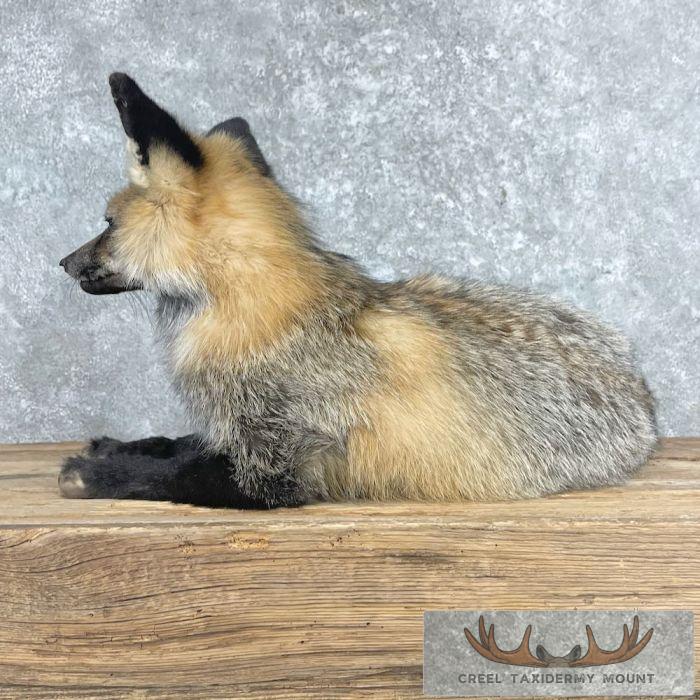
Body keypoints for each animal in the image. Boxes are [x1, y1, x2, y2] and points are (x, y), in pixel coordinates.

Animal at [58, 73, 657, 508]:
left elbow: (177, 472)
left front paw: (98, 471)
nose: (63, 263)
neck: (251, 310)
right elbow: (177, 443)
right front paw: (122, 446)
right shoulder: (240, 433)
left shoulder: (282, 466)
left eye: (107, 224)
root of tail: (646, 402)